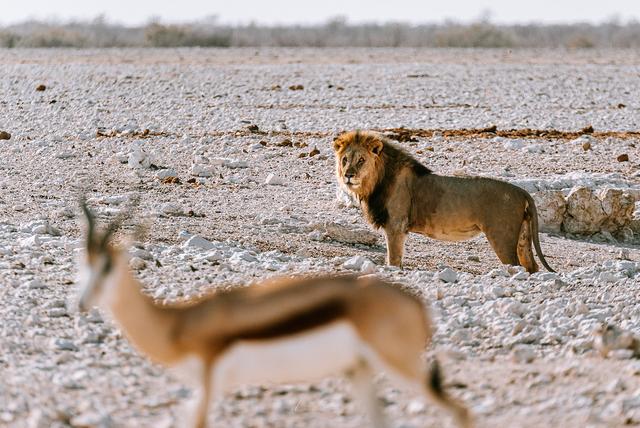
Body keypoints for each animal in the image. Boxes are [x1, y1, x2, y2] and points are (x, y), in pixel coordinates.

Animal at [336, 129, 556, 274]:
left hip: (502, 237)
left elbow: (394, 258)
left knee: (516, 265)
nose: (348, 175)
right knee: (532, 266)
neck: (375, 183)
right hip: (522, 237)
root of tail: (521, 192)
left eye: (361, 160)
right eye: (345, 160)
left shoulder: (395, 226)